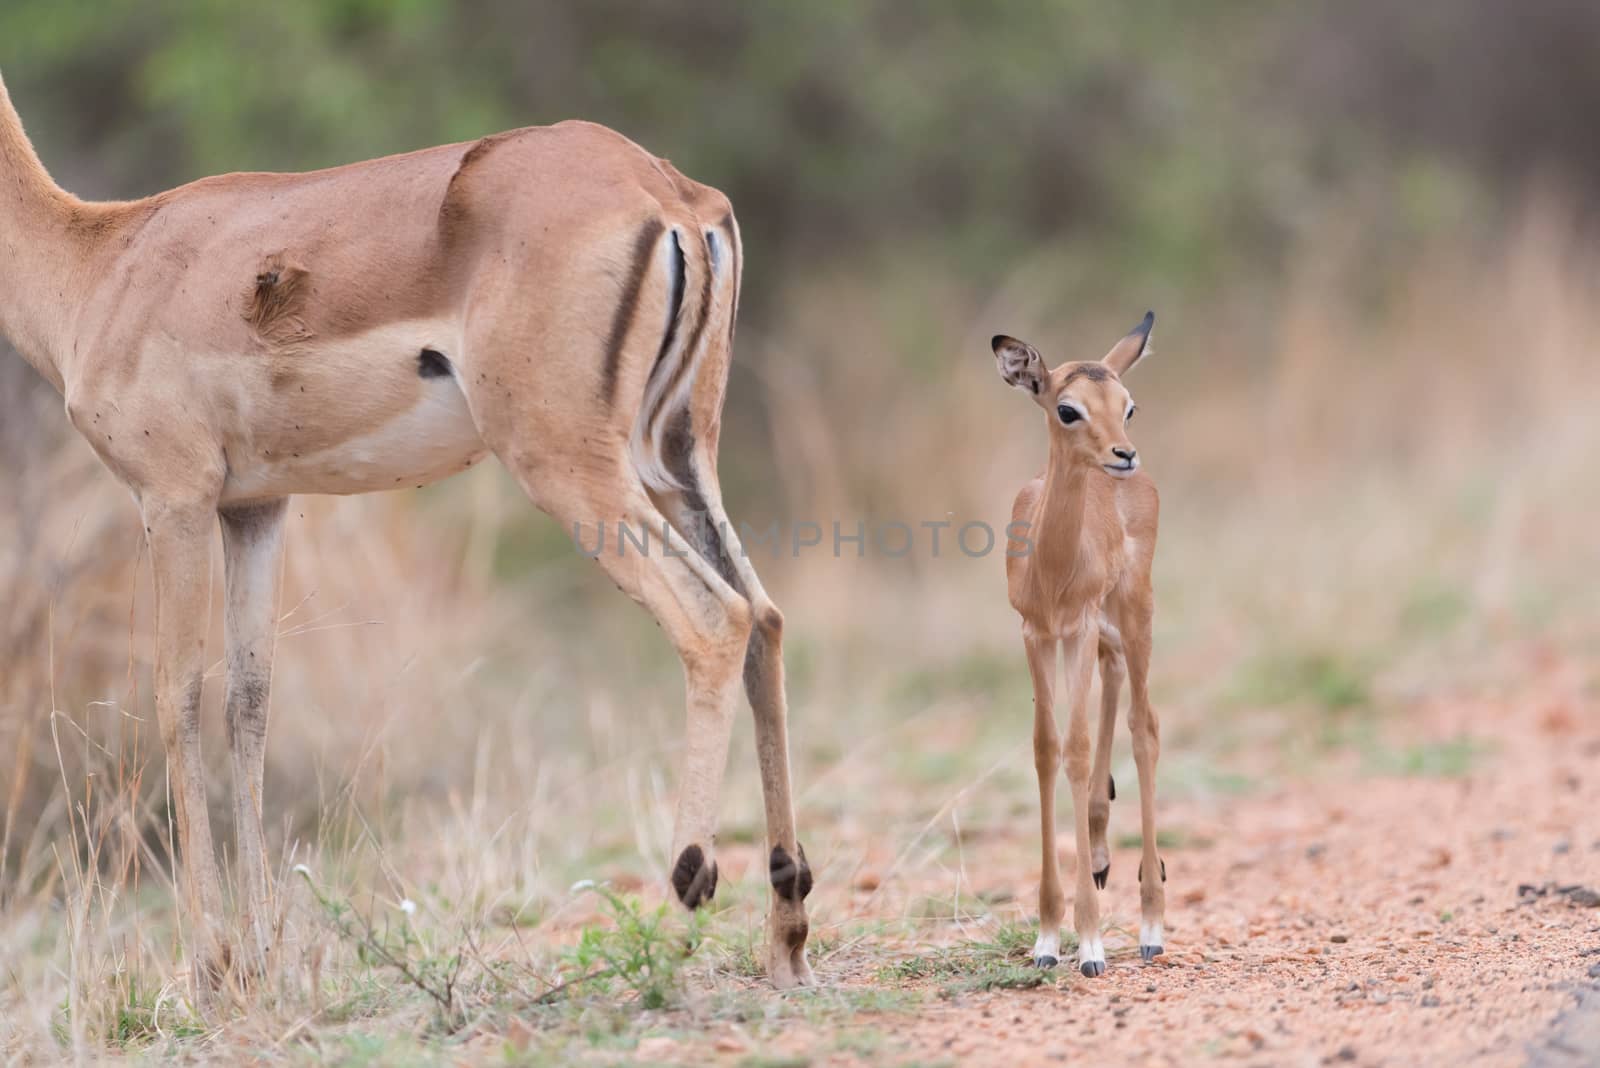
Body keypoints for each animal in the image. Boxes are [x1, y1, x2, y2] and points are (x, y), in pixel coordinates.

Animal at [0, 73, 819, 991]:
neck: (98, 262)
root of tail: (669, 192)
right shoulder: (254, 508)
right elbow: (250, 703)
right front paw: (258, 954)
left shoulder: (171, 498)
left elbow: (176, 697)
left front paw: (212, 965)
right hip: (677, 459)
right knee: (765, 618)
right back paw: (786, 933)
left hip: (570, 465)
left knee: (715, 619)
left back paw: (686, 894)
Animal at [992, 314, 1171, 978]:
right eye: (1066, 408)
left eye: (1128, 405)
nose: (1123, 453)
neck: (1052, 566)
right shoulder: (1036, 634)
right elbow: (1046, 751)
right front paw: (1046, 939)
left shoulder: (1080, 625)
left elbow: (1076, 746)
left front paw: (1089, 945)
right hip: (1103, 636)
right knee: (1116, 691)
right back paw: (1097, 855)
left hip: (1133, 614)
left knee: (1144, 728)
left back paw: (1150, 927)